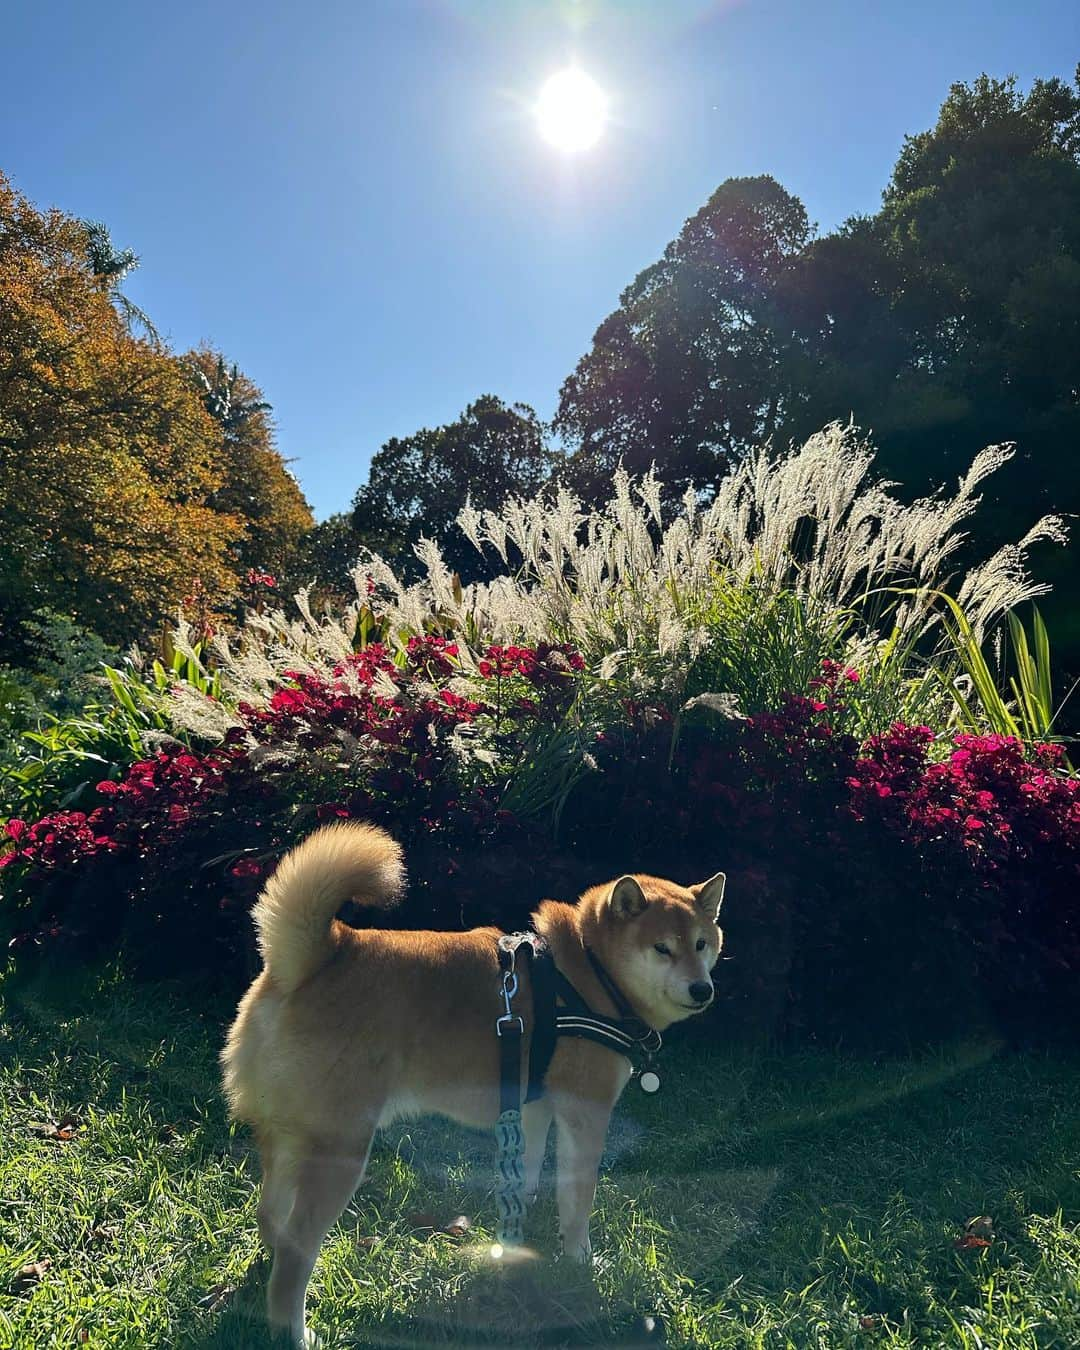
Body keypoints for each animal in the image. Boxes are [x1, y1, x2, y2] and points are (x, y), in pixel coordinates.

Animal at [218, 815, 723, 1344]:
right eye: (662, 949)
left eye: (701, 944)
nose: (702, 989)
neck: (588, 971)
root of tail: (317, 956)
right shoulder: (586, 1114)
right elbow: (577, 1198)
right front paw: (580, 1258)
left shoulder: (534, 1105)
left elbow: (530, 1169)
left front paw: (524, 1223)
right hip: (340, 1151)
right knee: (296, 1256)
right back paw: (295, 1331)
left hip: (288, 1140)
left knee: (270, 1216)